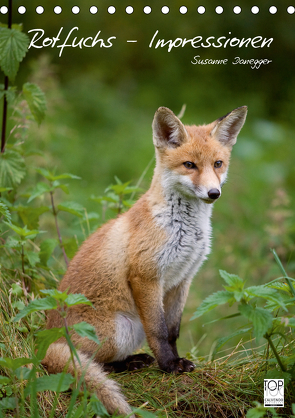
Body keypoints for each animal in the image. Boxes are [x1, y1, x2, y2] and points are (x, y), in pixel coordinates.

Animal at [42, 105, 249, 414]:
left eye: (218, 164)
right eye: (189, 165)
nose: (214, 193)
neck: (183, 228)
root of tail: (42, 341)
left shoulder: (182, 278)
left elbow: (173, 330)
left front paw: (177, 360)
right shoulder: (146, 276)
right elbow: (159, 331)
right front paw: (169, 365)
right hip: (121, 330)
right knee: (89, 362)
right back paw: (127, 363)